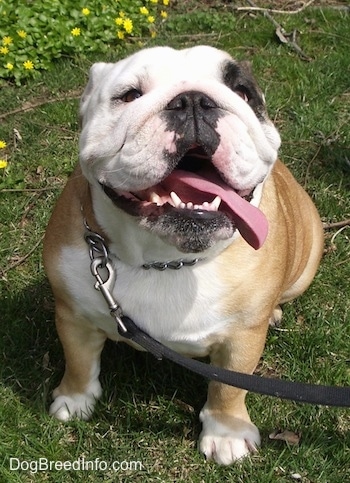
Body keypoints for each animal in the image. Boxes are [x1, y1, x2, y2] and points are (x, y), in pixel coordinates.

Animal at [43, 46, 322, 466]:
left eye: (243, 92)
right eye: (129, 95)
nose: (192, 100)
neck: (165, 257)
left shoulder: (240, 339)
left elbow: (228, 389)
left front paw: (226, 432)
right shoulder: (73, 315)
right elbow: (78, 361)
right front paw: (75, 400)